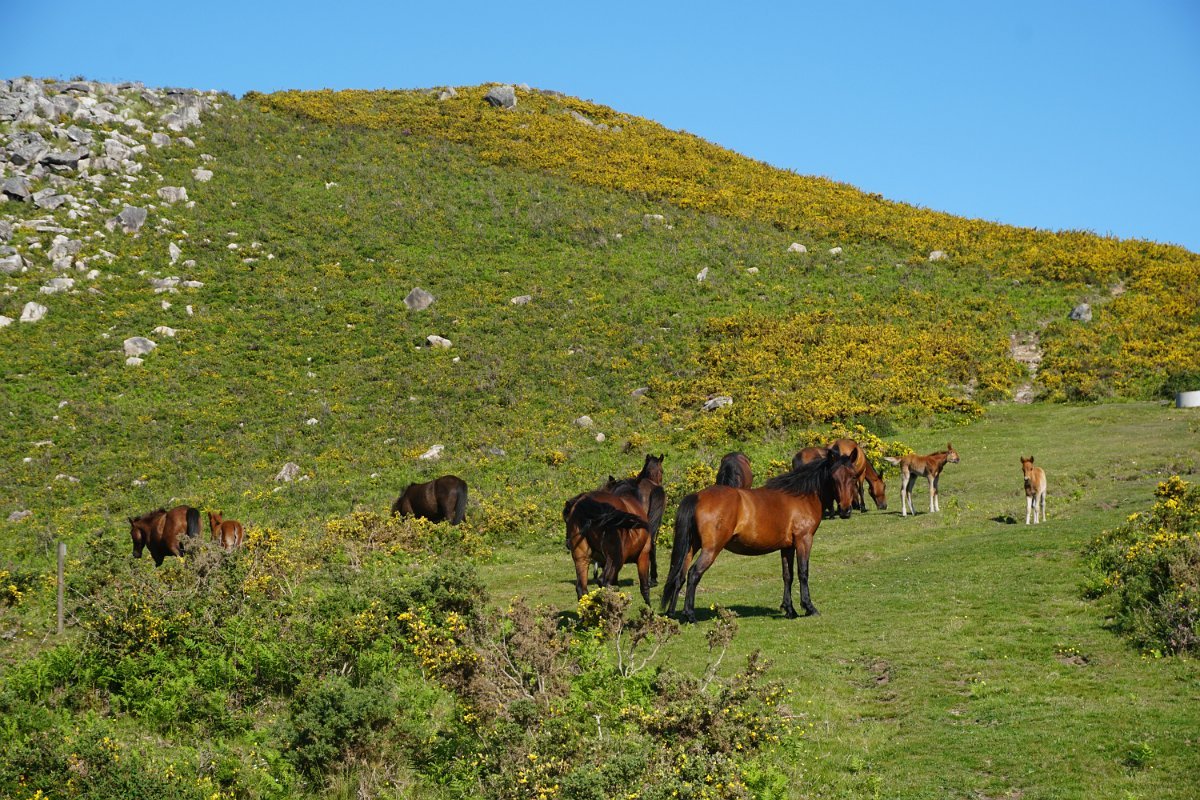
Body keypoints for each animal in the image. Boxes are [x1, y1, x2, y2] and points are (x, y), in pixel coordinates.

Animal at [661, 450, 860, 623]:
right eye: (833, 477)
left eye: (852, 476)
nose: (845, 510)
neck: (801, 495)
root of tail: (697, 496)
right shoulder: (804, 540)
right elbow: (803, 572)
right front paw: (809, 607)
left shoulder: (787, 547)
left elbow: (787, 576)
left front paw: (790, 610)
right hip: (710, 549)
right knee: (694, 574)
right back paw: (690, 615)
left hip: (691, 547)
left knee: (679, 576)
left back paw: (672, 614)